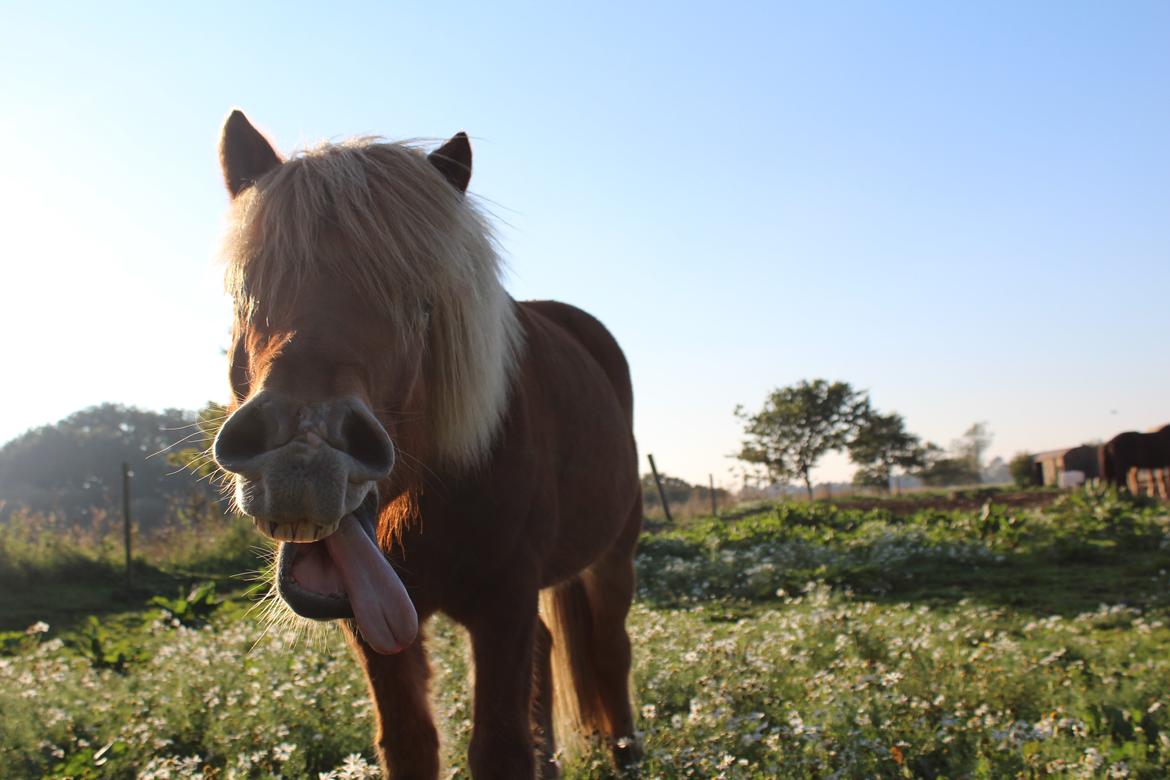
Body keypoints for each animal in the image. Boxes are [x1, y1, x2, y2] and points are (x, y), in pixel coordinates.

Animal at [208, 111, 641, 780]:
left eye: (420, 305)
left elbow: (499, 748)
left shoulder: (504, 603)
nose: (303, 452)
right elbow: (410, 742)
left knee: (610, 650)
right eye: (245, 292)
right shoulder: (377, 622)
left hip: (615, 554)